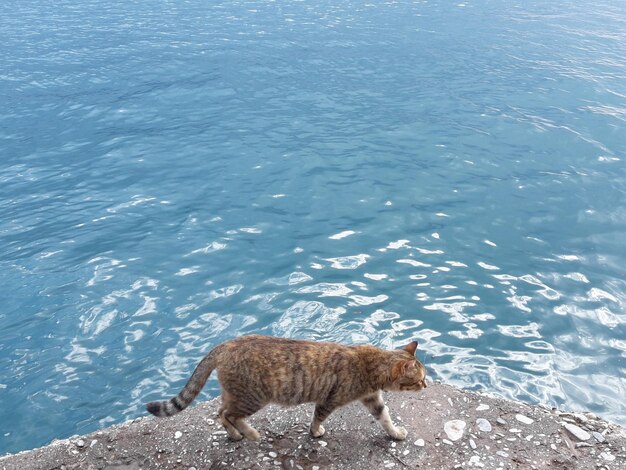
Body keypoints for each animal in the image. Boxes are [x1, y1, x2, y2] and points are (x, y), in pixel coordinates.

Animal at [146, 334, 426, 440]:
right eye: (419, 379)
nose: (425, 385)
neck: (370, 365)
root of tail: (227, 344)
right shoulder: (329, 400)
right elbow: (317, 417)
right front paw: (316, 432)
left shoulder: (373, 399)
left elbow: (385, 418)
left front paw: (395, 433)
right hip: (252, 398)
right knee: (228, 414)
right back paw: (248, 433)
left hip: (235, 394)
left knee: (221, 413)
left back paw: (236, 434)